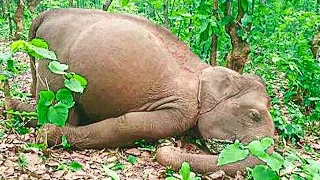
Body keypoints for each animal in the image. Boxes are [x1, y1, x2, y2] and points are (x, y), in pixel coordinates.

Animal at [8, 8, 276, 174]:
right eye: (254, 115)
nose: (168, 145)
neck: (205, 72)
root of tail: (47, 13)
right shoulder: (183, 106)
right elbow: (131, 124)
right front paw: (48, 135)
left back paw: (11, 106)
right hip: (54, 60)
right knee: (63, 109)